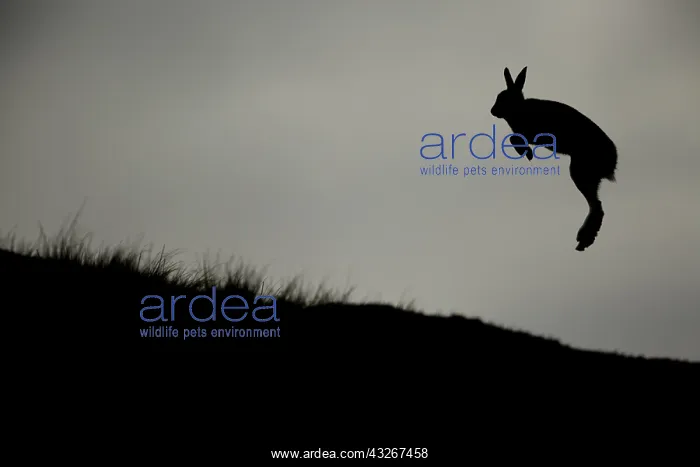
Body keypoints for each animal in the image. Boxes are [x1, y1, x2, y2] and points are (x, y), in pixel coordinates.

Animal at [491, 66, 618, 252]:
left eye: (504, 98)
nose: (492, 111)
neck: (519, 108)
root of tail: (612, 162)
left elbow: (514, 138)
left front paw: (527, 154)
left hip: (580, 171)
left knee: (596, 206)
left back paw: (583, 240)